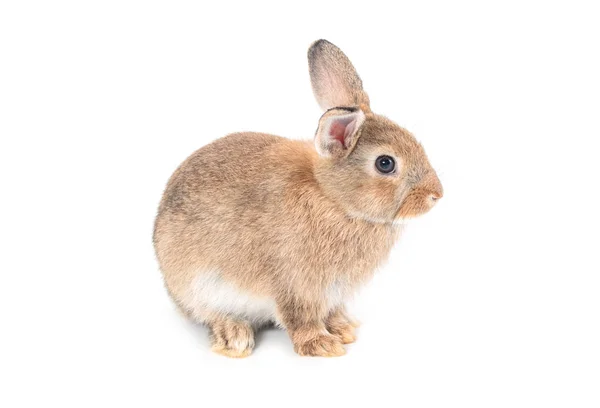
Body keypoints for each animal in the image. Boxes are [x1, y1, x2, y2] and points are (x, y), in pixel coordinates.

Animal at [152, 39, 442, 356]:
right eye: (385, 163)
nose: (436, 194)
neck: (333, 198)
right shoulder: (296, 284)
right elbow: (300, 317)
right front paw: (322, 345)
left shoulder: (331, 292)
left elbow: (330, 311)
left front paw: (343, 329)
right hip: (197, 286)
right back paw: (235, 337)